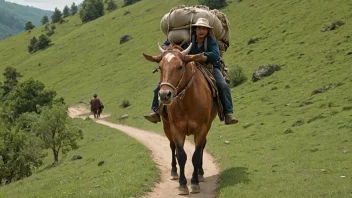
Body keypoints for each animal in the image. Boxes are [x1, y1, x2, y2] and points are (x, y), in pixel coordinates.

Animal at [142, 43, 217, 195]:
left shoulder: (202, 128)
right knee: (172, 147)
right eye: (160, 67)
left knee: (201, 147)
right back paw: (174, 172)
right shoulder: (176, 128)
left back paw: (200, 173)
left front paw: (194, 182)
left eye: (180, 66)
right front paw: (182, 184)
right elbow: (181, 155)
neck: (187, 101)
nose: (164, 95)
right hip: (167, 126)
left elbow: (196, 155)